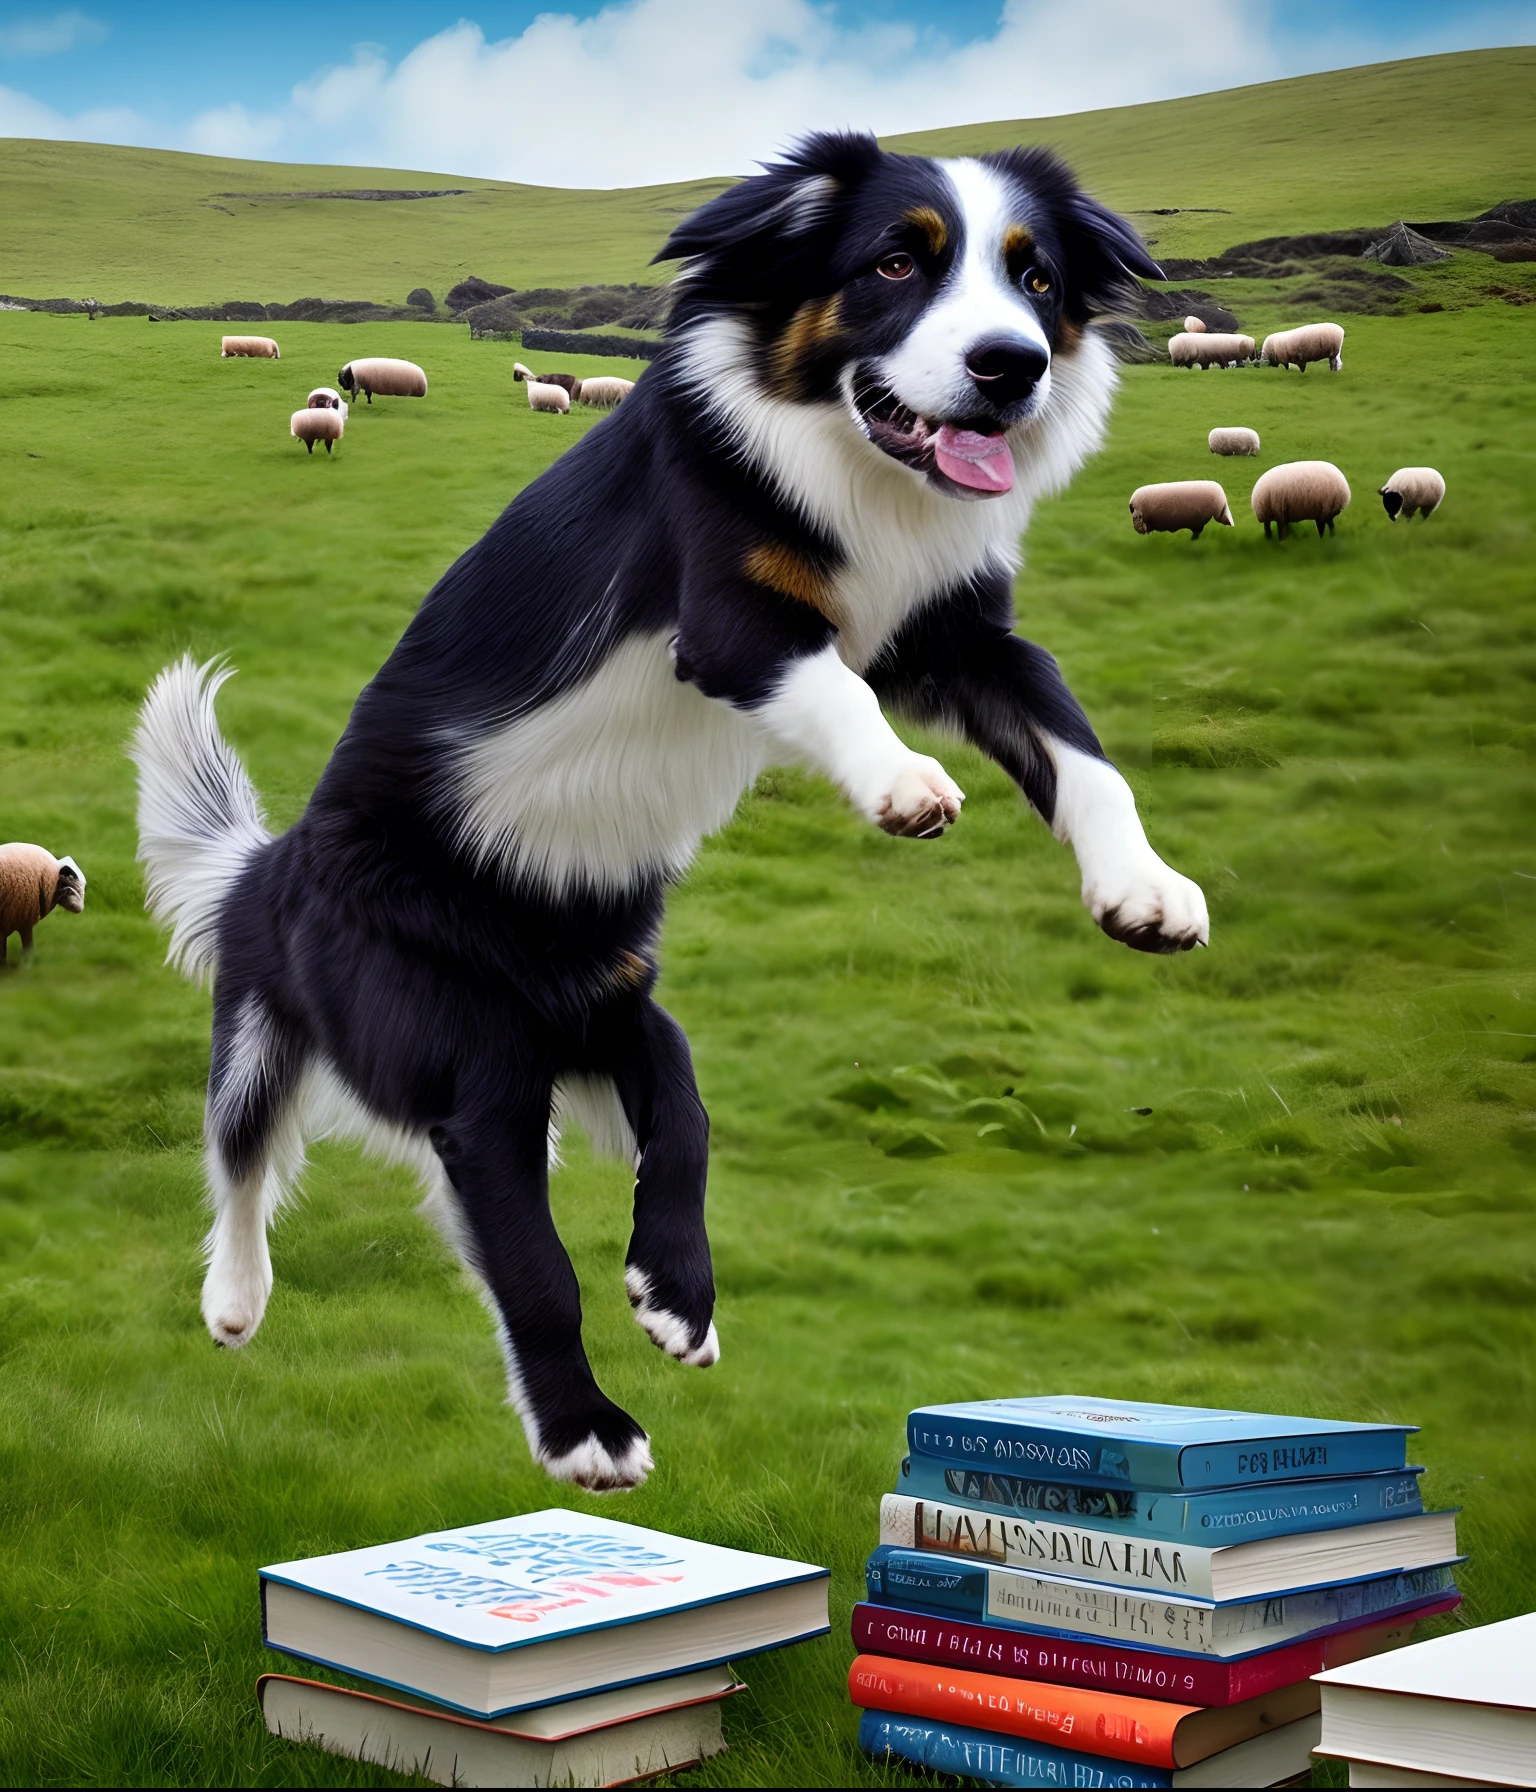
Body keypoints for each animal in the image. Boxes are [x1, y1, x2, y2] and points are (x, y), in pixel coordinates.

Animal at [131, 132, 1211, 1490]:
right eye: (895, 261)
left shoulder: (958, 634)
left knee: (678, 1106)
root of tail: (266, 861)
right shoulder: (735, 620)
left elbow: (1081, 753)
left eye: (1038, 278)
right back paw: (261, 1311)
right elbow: (833, 684)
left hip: (609, 1009)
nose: (1010, 367)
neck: (847, 460)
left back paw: (674, 1292)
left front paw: (1144, 889)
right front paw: (906, 784)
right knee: (254, 1165)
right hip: (386, 1037)